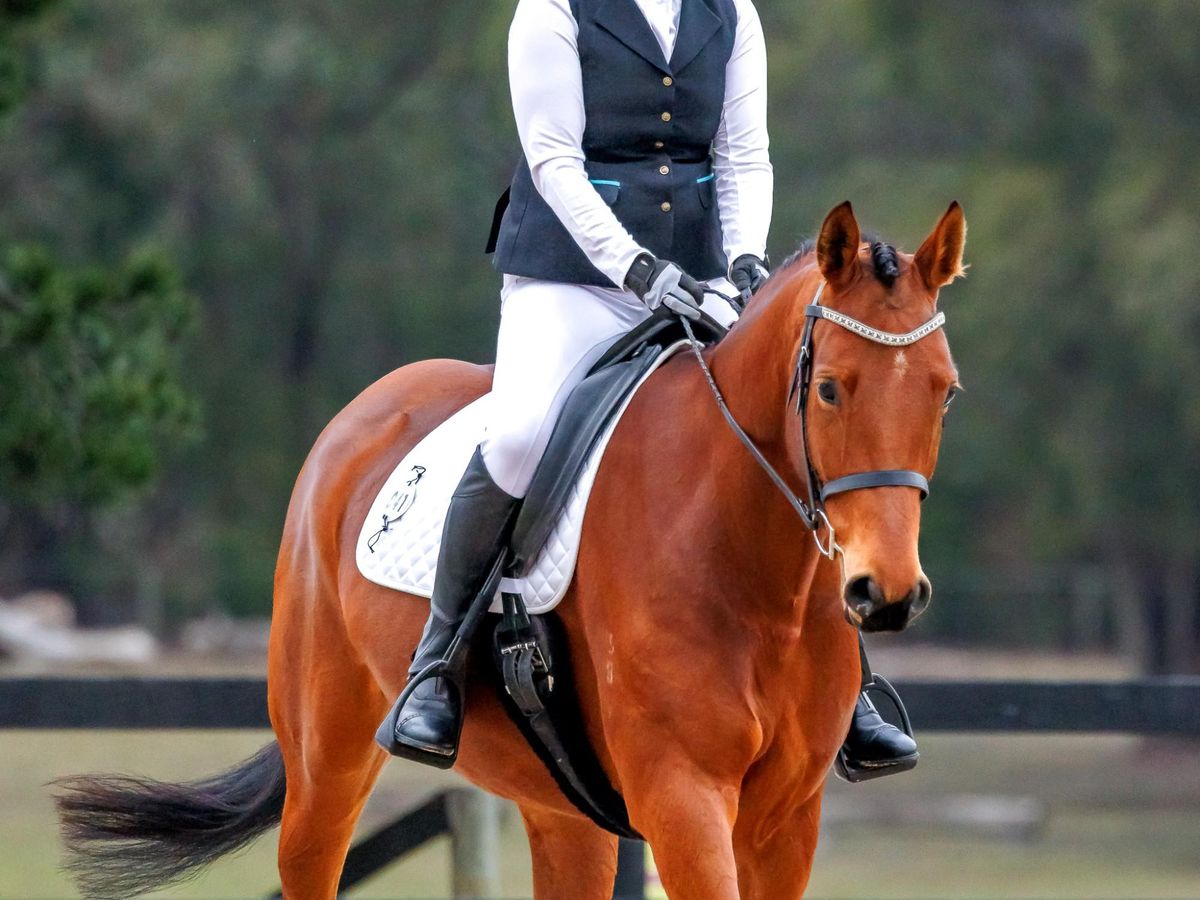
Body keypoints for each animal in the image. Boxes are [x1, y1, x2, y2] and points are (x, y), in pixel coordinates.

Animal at [54, 200, 965, 899]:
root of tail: (364, 411)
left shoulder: (784, 820)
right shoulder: (683, 798)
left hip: (562, 808)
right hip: (325, 762)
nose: (885, 594)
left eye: (945, 392)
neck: (753, 569)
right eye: (829, 388)